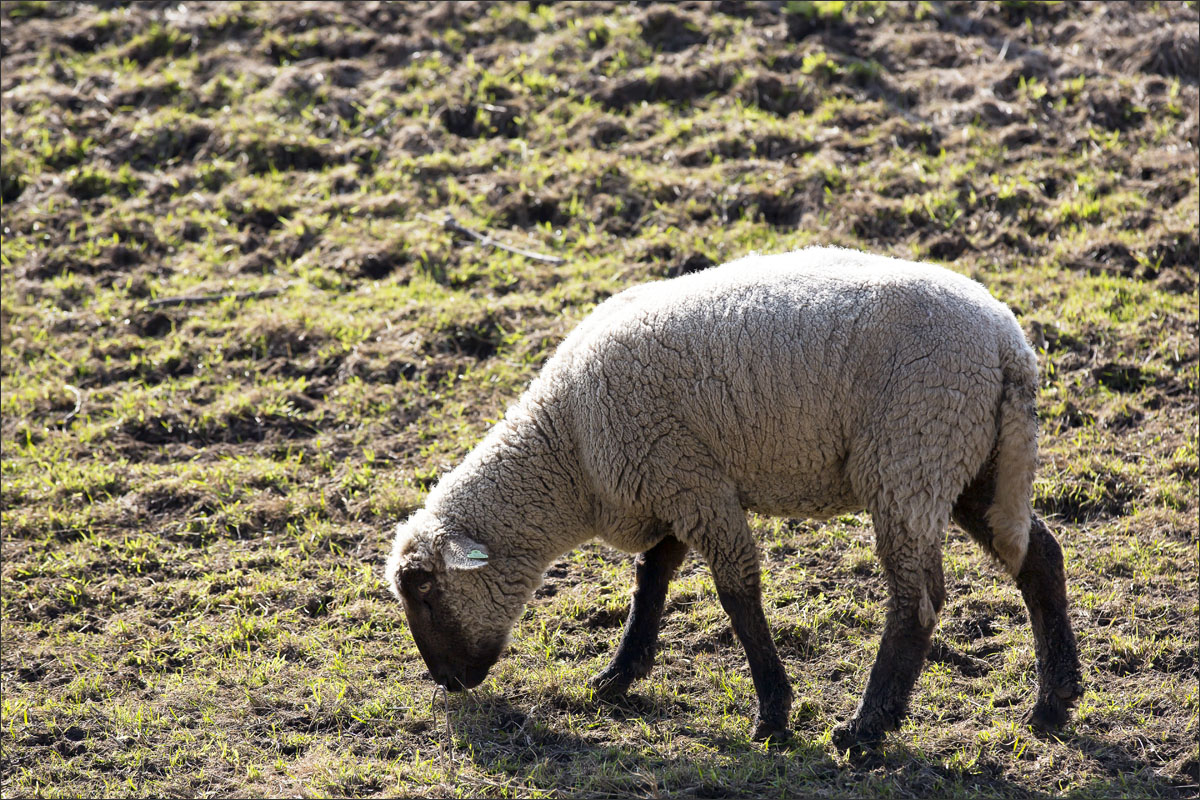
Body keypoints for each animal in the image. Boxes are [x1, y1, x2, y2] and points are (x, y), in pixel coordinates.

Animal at [386, 245, 1089, 753]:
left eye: (423, 591)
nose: (446, 683)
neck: (571, 453)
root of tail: (1008, 345)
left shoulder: (693, 483)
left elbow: (736, 595)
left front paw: (773, 715)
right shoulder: (675, 481)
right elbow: (653, 578)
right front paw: (618, 676)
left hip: (912, 451)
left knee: (917, 600)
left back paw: (867, 728)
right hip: (971, 462)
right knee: (1038, 556)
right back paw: (1053, 701)